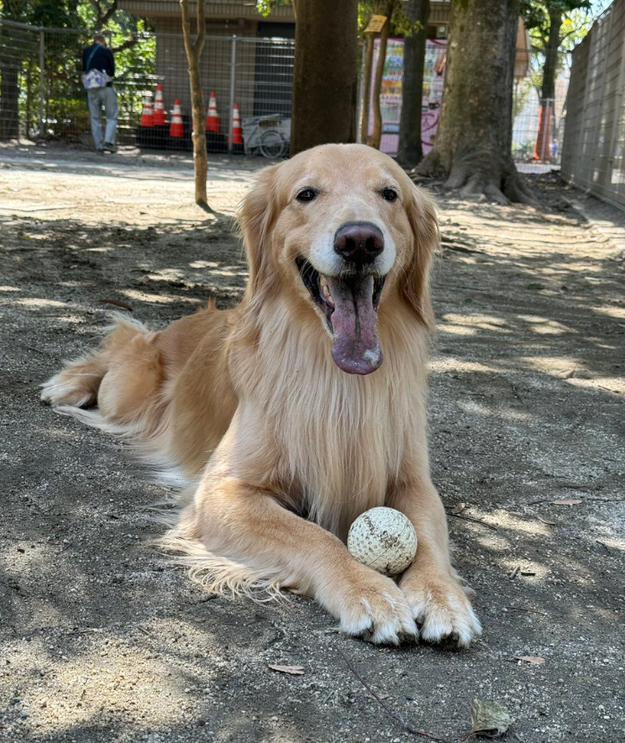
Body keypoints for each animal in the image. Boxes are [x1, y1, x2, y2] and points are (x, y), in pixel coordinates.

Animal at [41, 144, 480, 644]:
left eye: (389, 193)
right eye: (306, 194)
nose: (360, 241)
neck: (333, 376)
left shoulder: (412, 480)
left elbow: (428, 536)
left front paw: (442, 595)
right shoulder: (224, 492)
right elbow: (314, 535)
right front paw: (368, 590)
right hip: (128, 386)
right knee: (123, 342)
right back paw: (70, 382)